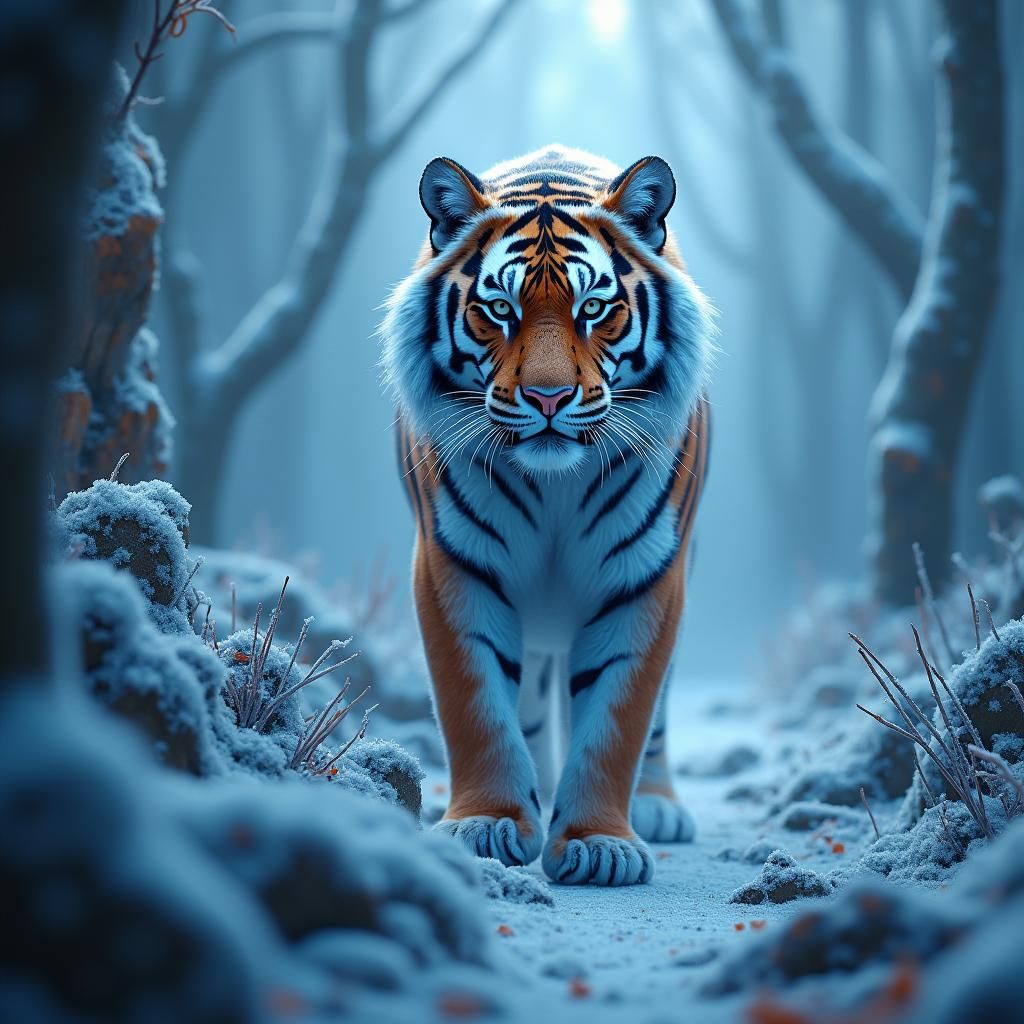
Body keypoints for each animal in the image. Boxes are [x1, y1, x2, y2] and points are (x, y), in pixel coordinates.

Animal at [381, 145, 713, 886]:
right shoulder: (455, 570)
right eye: (498, 309)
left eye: (595, 308)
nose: (550, 397)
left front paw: (599, 844)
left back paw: (658, 807)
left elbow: (618, 721)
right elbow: (476, 707)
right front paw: (487, 824)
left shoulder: (646, 581)